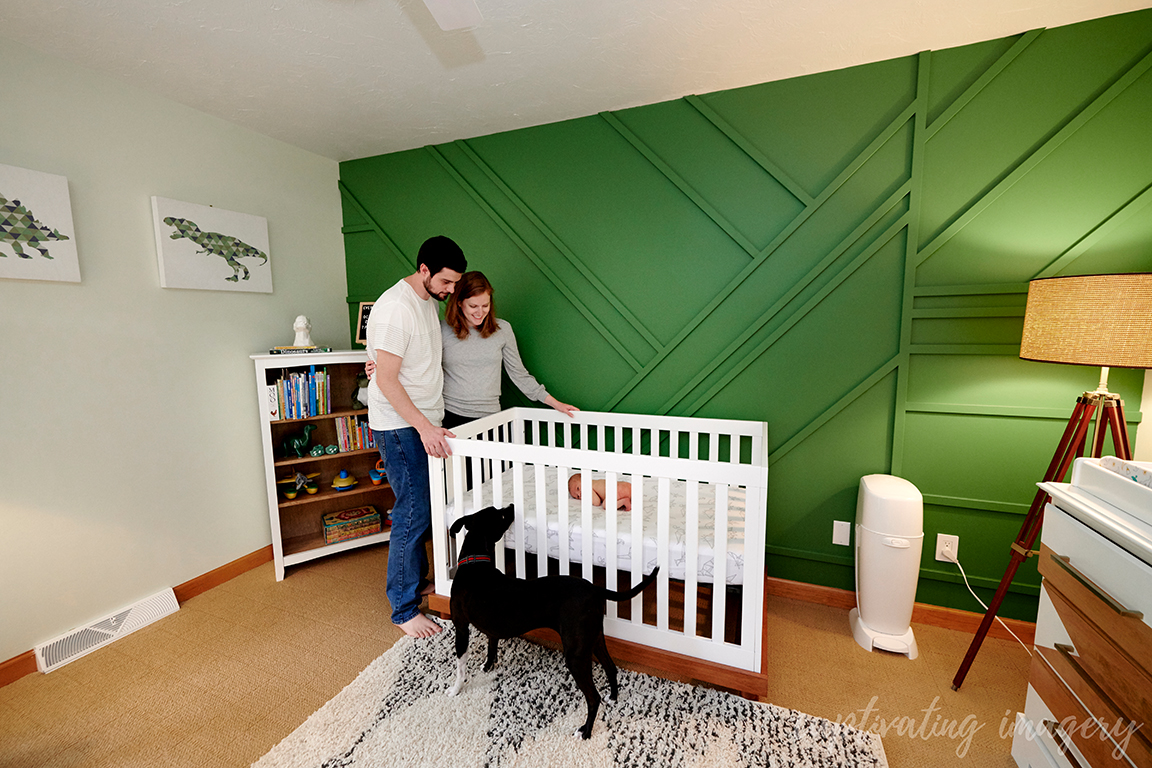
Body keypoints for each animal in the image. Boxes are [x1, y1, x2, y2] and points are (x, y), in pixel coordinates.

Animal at [444, 504, 658, 736]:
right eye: (499, 513)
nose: (511, 506)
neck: (475, 563)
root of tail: (593, 588)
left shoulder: (461, 628)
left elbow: (460, 667)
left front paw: (455, 689)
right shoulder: (491, 629)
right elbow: (491, 647)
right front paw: (487, 666)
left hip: (575, 654)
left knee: (593, 697)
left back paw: (585, 731)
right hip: (594, 639)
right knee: (611, 668)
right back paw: (613, 698)